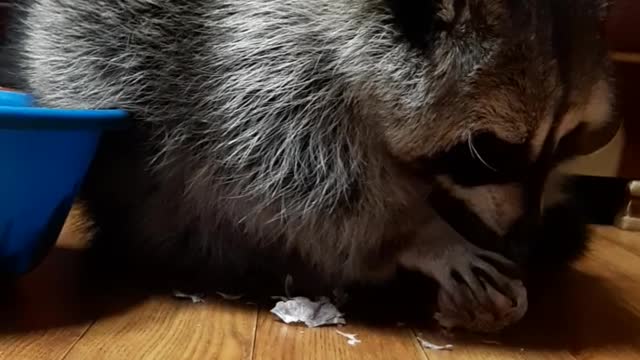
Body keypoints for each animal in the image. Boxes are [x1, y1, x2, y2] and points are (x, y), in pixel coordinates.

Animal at [11, 0, 620, 332]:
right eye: (489, 151)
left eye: (562, 143)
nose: (524, 237)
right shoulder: (258, 56)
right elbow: (285, 174)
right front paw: (421, 234)